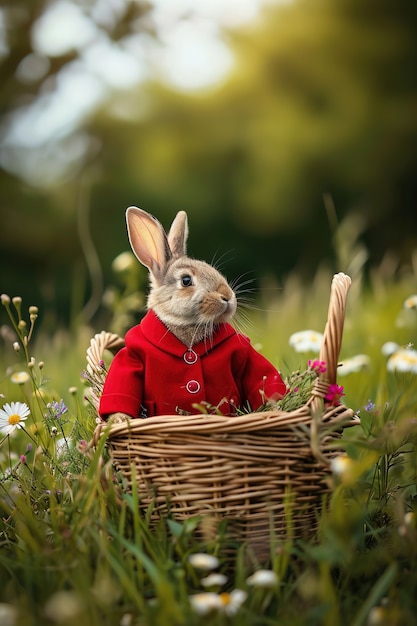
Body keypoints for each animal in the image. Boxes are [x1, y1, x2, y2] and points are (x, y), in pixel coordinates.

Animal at [98, 207, 286, 422]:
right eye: (186, 280)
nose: (228, 296)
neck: (188, 326)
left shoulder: (243, 350)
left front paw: (275, 406)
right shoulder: (132, 354)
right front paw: (120, 419)